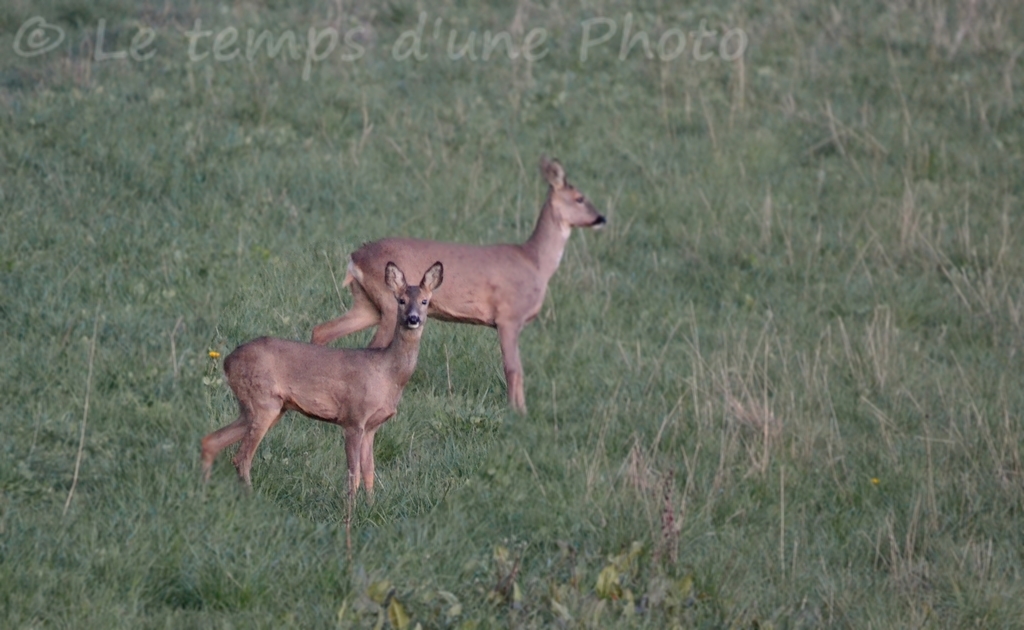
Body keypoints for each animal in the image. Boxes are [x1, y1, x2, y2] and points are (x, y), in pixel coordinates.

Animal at [199, 261, 440, 549]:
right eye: (401, 300)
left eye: (425, 301)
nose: (413, 319)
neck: (388, 374)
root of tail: (226, 361)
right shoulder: (353, 418)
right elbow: (353, 475)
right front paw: (350, 519)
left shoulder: (372, 427)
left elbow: (370, 472)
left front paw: (372, 510)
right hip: (263, 402)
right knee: (241, 457)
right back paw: (250, 503)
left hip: (263, 408)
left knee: (211, 441)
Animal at [307, 157, 602, 413]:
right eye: (580, 198)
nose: (601, 218)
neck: (535, 263)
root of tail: (355, 258)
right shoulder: (508, 316)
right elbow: (513, 369)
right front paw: (517, 412)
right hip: (390, 306)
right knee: (371, 348)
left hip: (367, 304)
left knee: (322, 330)